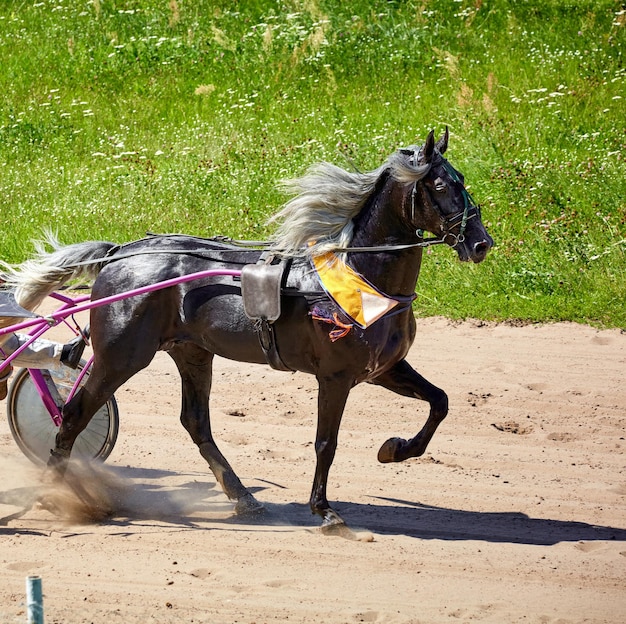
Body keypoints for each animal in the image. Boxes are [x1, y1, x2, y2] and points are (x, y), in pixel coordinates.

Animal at [4, 130, 492, 528]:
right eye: (442, 186)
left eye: (463, 179)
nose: (481, 243)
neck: (360, 276)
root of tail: (120, 253)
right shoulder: (335, 376)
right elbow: (326, 442)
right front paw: (324, 510)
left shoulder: (384, 368)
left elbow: (440, 402)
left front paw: (395, 449)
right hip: (121, 356)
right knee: (73, 414)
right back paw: (59, 493)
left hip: (192, 352)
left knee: (195, 422)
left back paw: (243, 498)